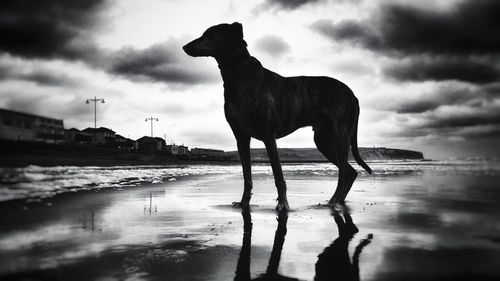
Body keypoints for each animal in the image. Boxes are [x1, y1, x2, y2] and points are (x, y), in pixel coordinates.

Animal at [184, 22, 372, 210]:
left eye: (210, 34)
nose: (185, 47)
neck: (237, 72)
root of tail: (353, 96)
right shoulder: (241, 137)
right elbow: (247, 175)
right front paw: (244, 202)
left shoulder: (269, 135)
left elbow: (278, 175)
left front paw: (283, 204)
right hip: (323, 140)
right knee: (350, 171)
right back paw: (338, 201)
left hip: (340, 136)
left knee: (344, 173)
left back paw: (333, 201)